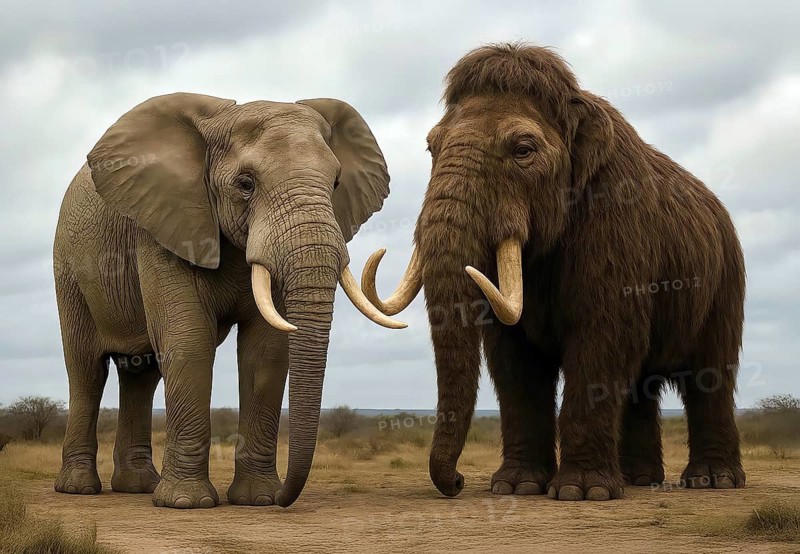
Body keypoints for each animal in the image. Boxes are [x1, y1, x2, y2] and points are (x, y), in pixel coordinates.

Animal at [52, 92, 405, 509]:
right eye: (245, 184)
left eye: (335, 182)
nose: (285, 497)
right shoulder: (164, 226)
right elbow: (188, 342)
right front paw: (187, 503)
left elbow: (266, 351)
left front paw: (258, 499)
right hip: (68, 268)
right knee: (86, 369)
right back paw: (78, 489)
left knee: (142, 373)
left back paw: (138, 487)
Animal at [363, 43, 746, 501]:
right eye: (431, 148)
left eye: (523, 150)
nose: (456, 482)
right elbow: (513, 357)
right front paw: (517, 487)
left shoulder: (615, 222)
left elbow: (603, 338)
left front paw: (583, 492)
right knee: (641, 387)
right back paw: (639, 480)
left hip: (727, 281)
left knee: (710, 379)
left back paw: (713, 481)